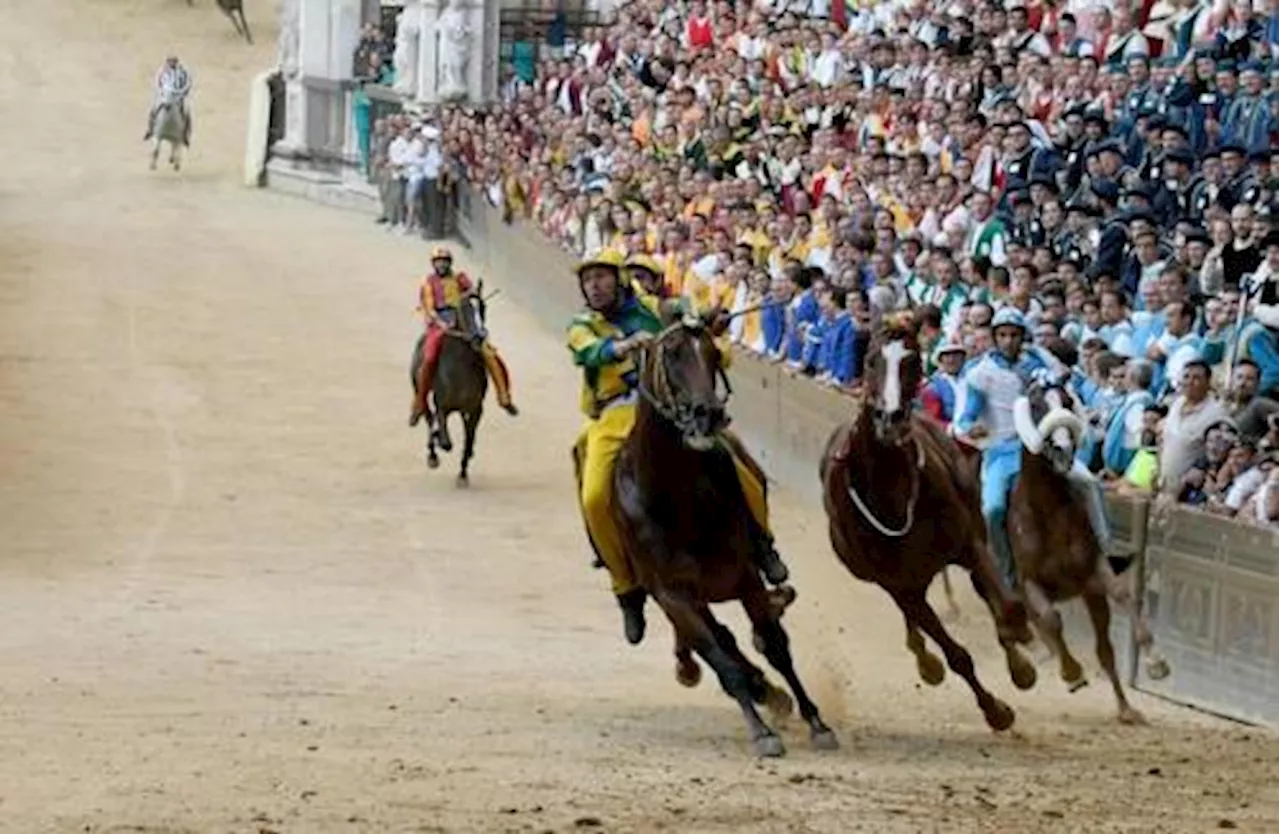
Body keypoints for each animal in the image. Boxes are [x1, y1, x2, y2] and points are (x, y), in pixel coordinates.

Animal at [412, 286, 486, 486]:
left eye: (483, 308)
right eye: (465, 309)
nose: (480, 337)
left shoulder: (476, 408)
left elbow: (468, 439)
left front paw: (463, 474)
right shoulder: (442, 406)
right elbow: (446, 442)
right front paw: (439, 438)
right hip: (420, 389)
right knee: (428, 417)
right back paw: (432, 454)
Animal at [611, 310, 834, 757]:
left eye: (714, 354)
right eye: (673, 354)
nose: (708, 414)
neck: (673, 499)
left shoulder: (744, 576)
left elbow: (776, 646)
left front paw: (816, 721)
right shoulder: (674, 595)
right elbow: (720, 657)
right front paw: (762, 731)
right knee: (721, 643)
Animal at [819, 319, 1039, 731]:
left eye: (912, 360)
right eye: (870, 360)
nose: (890, 419)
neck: (890, 489)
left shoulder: (967, 543)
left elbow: (1007, 608)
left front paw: (1021, 662)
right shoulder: (897, 583)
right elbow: (956, 655)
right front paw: (996, 711)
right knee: (914, 619)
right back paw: (925, 659)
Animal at [1008, 378, 1172, 721]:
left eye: (1068, 402)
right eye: (1037, 406)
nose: (1062, 450)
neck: (1048, 511)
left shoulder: (1093, 573)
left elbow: (1124, 595)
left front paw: (1156, 662)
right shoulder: (1028, 581)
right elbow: (1052, 619)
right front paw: (1072, 673)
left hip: (1090, 595)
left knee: (1104, 651)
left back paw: (1126, 709)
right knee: (1043, 624)